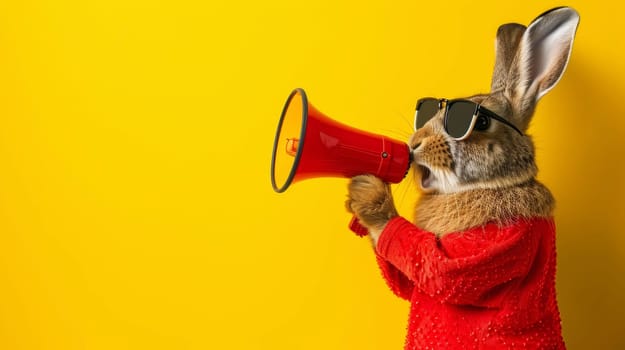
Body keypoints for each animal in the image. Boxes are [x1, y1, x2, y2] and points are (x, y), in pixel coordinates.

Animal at [344, 6, 576, 350]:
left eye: (479, 122)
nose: (415, 143)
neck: (494, 182)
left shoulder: (500, 244)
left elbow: (439, 271)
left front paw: (369, 196)